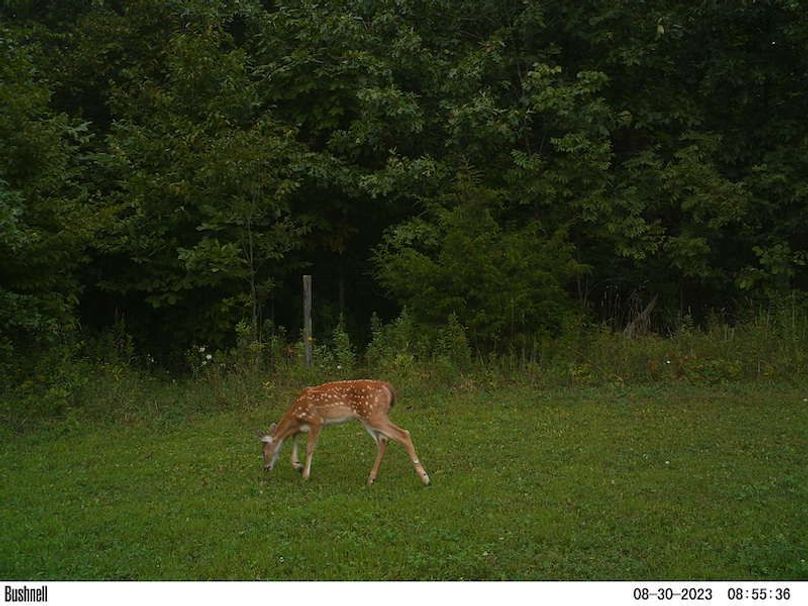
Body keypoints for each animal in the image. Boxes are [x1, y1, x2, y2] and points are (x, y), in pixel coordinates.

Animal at [256, 380, 431, 486]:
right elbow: (294, 437)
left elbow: (309, 447)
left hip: (374, 414)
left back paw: (425, 478)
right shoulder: (302, 427)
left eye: (264, 452)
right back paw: (371, 479)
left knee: (403, 434)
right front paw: (297, 465)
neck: (295, 415)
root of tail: (388, 388)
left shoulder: (316, 421)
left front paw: (305, 474)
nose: (265, 468)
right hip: (367, 418)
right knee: (383, 441)